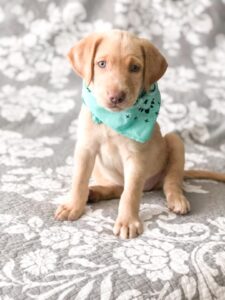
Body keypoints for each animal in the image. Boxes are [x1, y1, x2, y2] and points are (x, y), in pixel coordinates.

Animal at [54, 29, 225, 239]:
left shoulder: (136, 158)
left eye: (135, 68)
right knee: (118, 187)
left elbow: (131, 192)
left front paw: (128, 221)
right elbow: (79, 180)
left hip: (175, 142)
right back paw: (94, 192)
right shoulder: (85, 149)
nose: (116, 97)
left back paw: (177, 199)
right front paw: (73, 207)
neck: (115, 120)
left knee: (171, 181)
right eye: (101, 64)